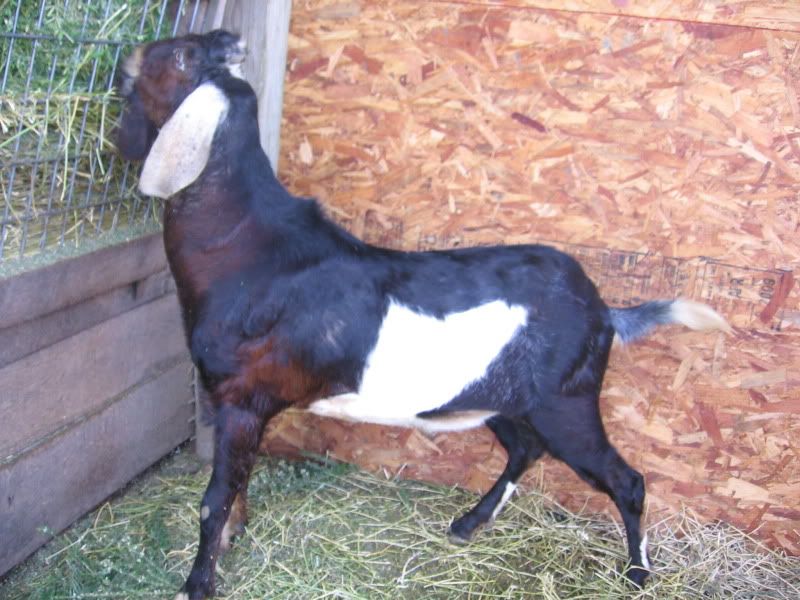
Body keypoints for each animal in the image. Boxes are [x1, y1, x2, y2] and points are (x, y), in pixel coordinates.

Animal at [116, 30, 730, 600]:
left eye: (177, 59)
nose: (129, 57)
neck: (246, 251)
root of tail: (605, 312)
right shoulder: (244, 406)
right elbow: (238, 486)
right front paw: (233, 538)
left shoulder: (242, 397)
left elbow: (215, 497)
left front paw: (197, 583)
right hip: (503, 399)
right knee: (525, 449)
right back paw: (468, 524)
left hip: (567, 404)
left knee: (627, 480)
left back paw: (637, 574)